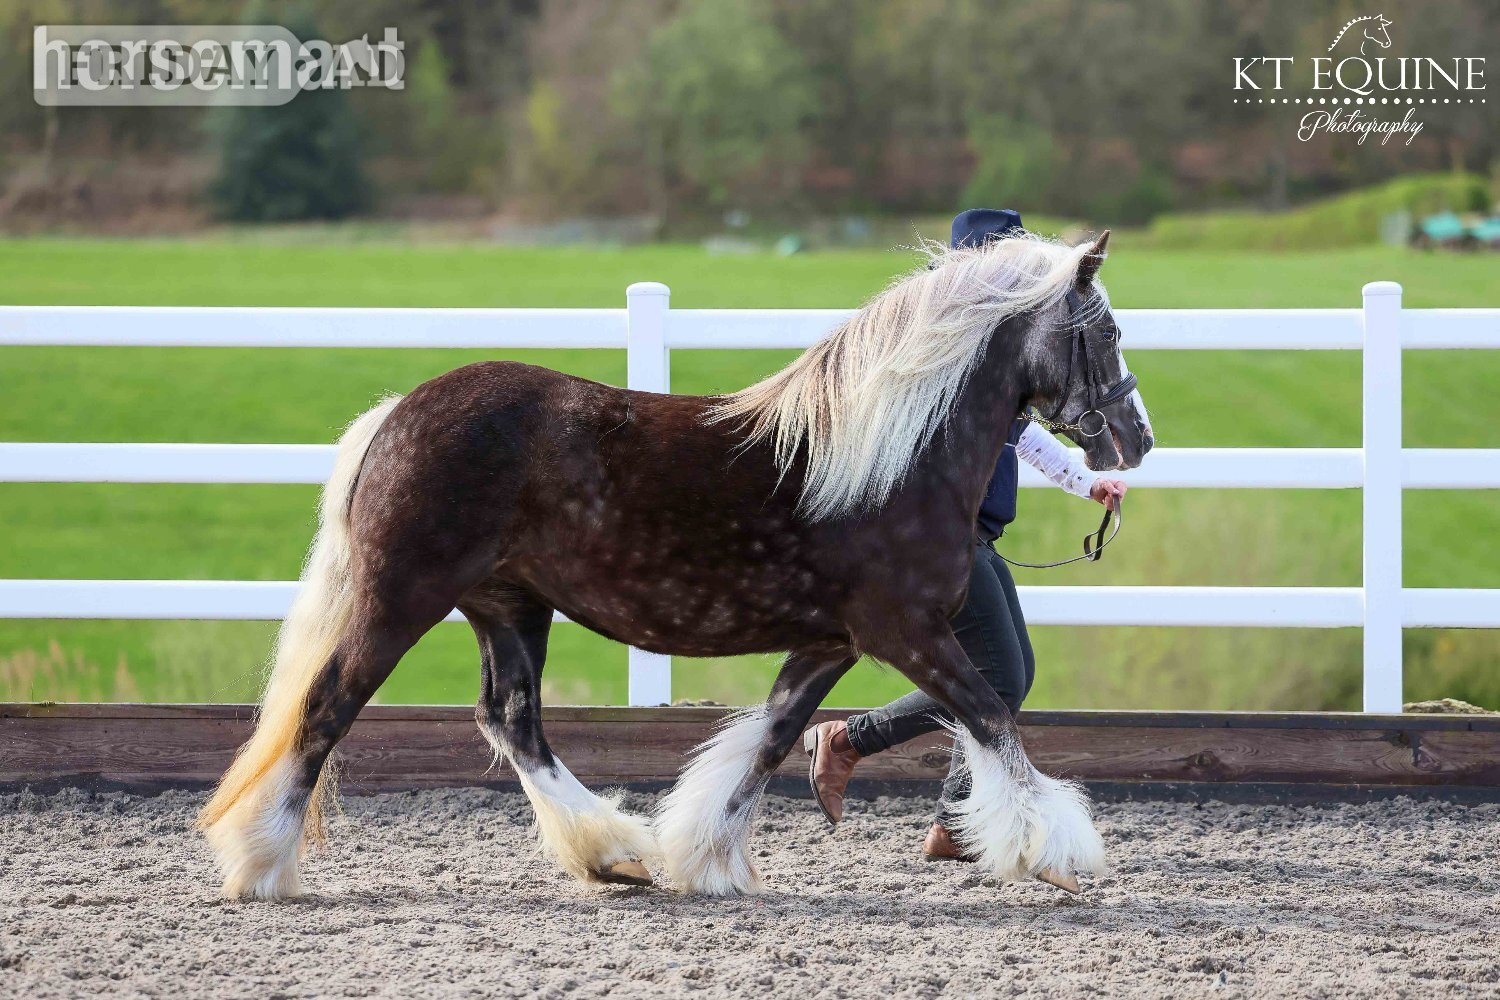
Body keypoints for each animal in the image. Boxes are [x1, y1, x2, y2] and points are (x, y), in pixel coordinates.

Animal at [197, 229, 1153, 900]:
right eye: (1103, 330)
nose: (1134, 440)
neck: (891, 456)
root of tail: (396, 415)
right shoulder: (908, 632)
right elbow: (991, 717)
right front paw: (1059, 856)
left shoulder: (830, 643)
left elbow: (765, 744)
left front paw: (705, 860)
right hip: (403, 596)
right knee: (326, 706)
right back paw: (261, 865)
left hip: (509, 606)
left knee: (512, 721)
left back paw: (615, 855)